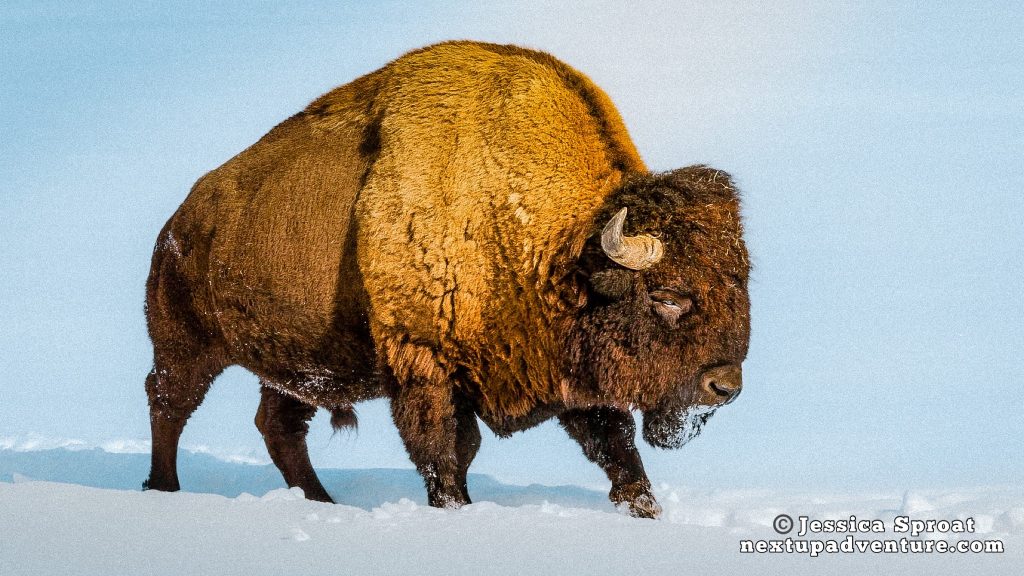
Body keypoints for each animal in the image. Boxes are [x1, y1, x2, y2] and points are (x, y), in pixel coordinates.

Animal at [143, 41, 750, 518]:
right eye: (668, 296)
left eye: (741, 283)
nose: (725, 387)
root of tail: (181, 220)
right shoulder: (423, 361)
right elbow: (441, 452)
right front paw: (455, 511)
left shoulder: (565, 370)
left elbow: (615, 449)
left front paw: (646, 511)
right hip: (186, 344)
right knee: (169, 402)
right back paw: (163, 489)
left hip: (296, 363)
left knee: (279, 425)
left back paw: (320, 501)